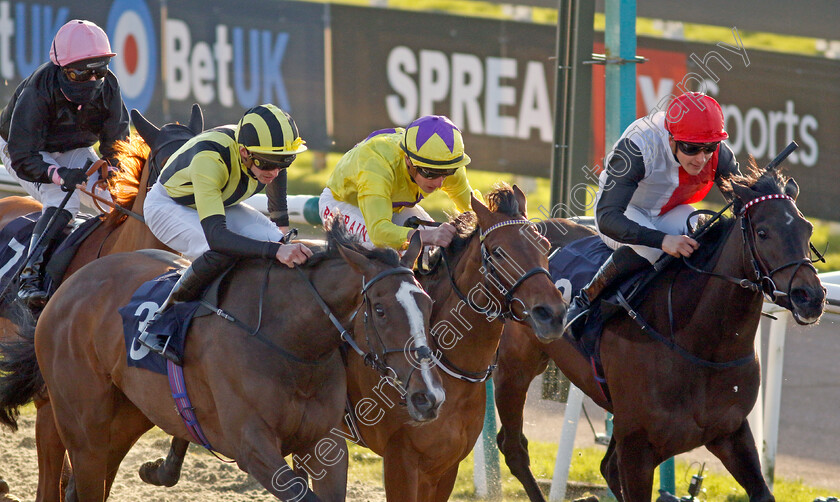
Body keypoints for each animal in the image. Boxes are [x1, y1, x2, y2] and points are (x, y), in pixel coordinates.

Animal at [4, 221, 446, 502]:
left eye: (427, 303)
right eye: (381, 310)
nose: (430, 397)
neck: (290, 345)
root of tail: (66, 289)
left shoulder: (324, 442)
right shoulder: (252, 446)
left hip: (127, 416)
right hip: (84, 426)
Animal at [496, 164, 824, 498]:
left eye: (808, 229)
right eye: (763, 232)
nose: (810, 297)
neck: (699, 344)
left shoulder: (729, 432)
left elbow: (762, 491)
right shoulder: (636, 445)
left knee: (602, 466)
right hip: (513, 368)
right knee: (513, 447)